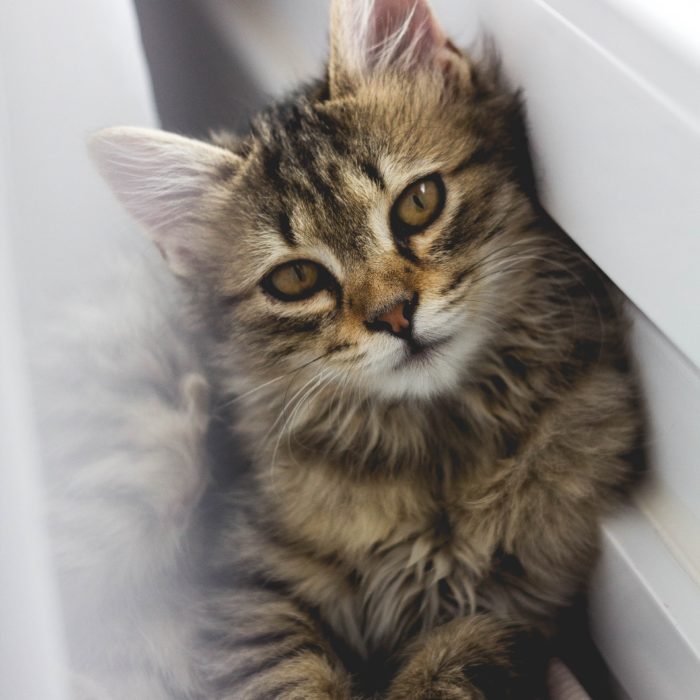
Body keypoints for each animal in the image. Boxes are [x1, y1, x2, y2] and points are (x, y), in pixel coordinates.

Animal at [85, 0, 644, 696]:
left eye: (419, 202)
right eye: (296, 279)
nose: (394, 314)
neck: (436, 450)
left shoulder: (513, 602)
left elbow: (445, 670)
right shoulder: (244, 583)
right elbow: (287, 676)